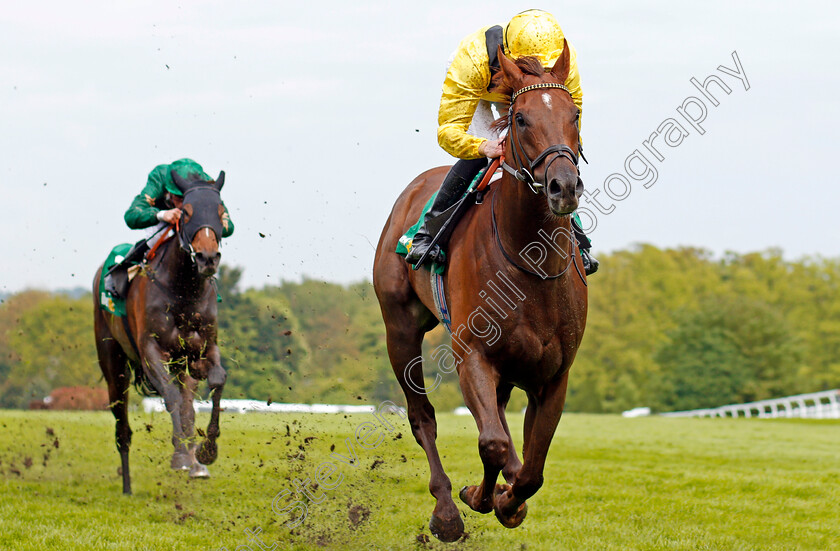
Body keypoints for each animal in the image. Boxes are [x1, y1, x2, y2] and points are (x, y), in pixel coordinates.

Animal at [92, 170, 228, 494]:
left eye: (221, 211)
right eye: (186, 212)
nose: (207, 258)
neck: (183, 289)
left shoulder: (203, 350)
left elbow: (216, 382)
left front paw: (206, 451)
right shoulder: (151, 351)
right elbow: (171, 397)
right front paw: (179, 456)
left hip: (182, 365)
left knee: (187, 406)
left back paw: (195, 462)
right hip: (113, 363)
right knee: (123, 426)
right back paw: (127, 486)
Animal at [374, 44, 592, 544]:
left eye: (574, 113)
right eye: (521, 119)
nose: (564, 186)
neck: (532, 264)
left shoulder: (554, 374)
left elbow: (532, 466)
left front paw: (509, 501)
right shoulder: (471, 354)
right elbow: (493, 442)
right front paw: (479, 498)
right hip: (400, 329)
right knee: (423, 416)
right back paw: (447, 511)